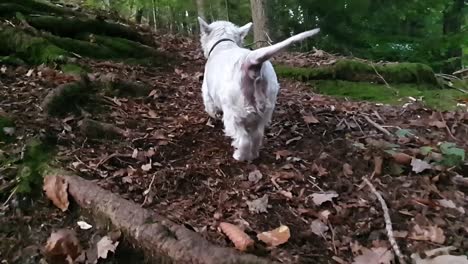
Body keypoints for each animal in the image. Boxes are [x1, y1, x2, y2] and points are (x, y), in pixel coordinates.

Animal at [199, 17, 320, 161]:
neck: (224, 44)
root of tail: (252, 62)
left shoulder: (206, 91)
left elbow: (210, 108)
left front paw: (214, 115)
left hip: (234, 113)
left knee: (244, 140)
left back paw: (239, 156)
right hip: (266, 109)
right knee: (257, 135)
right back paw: (254, 154)